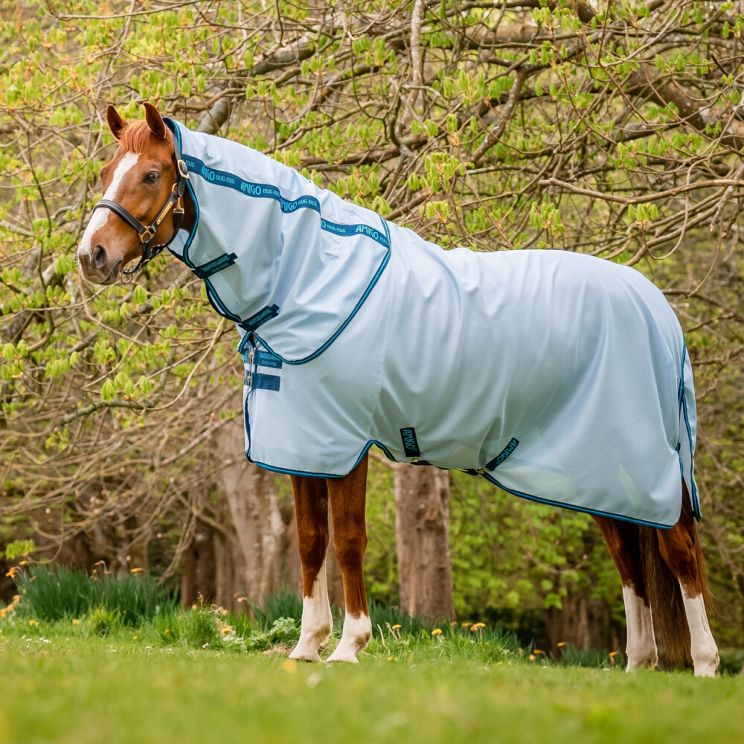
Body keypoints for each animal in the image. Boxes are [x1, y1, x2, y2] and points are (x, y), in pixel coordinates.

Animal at [77, 103, 719, 676]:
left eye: (151, 174)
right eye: (107, 171)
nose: (91, 255)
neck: (309, 277)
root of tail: (657, 309)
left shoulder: (344, 442)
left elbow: (348, 540)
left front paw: (348, 646)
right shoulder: (302, 443)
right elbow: (310, 541)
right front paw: (306, 646)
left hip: (643, 464)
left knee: (679, 551)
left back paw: (705, 666)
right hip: (600, 469)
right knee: (629, 558)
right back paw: (637, 664)